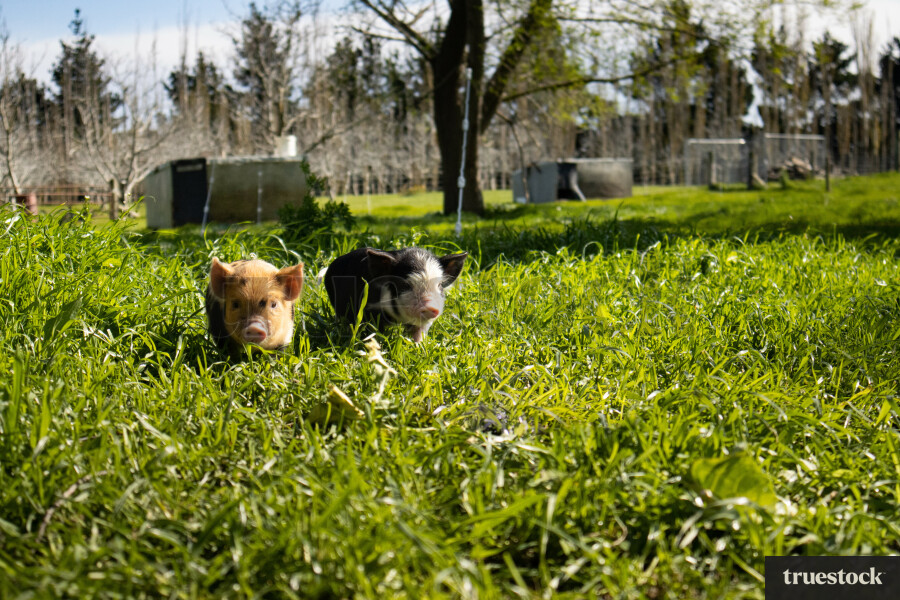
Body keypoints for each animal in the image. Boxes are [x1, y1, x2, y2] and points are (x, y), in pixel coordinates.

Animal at [323, 247, 468, 342]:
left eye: (439, 285)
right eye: (406, 285)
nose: (431, 307)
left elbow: (418, 333)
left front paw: (418, 347)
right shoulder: (369, 310)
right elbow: (374, 331)